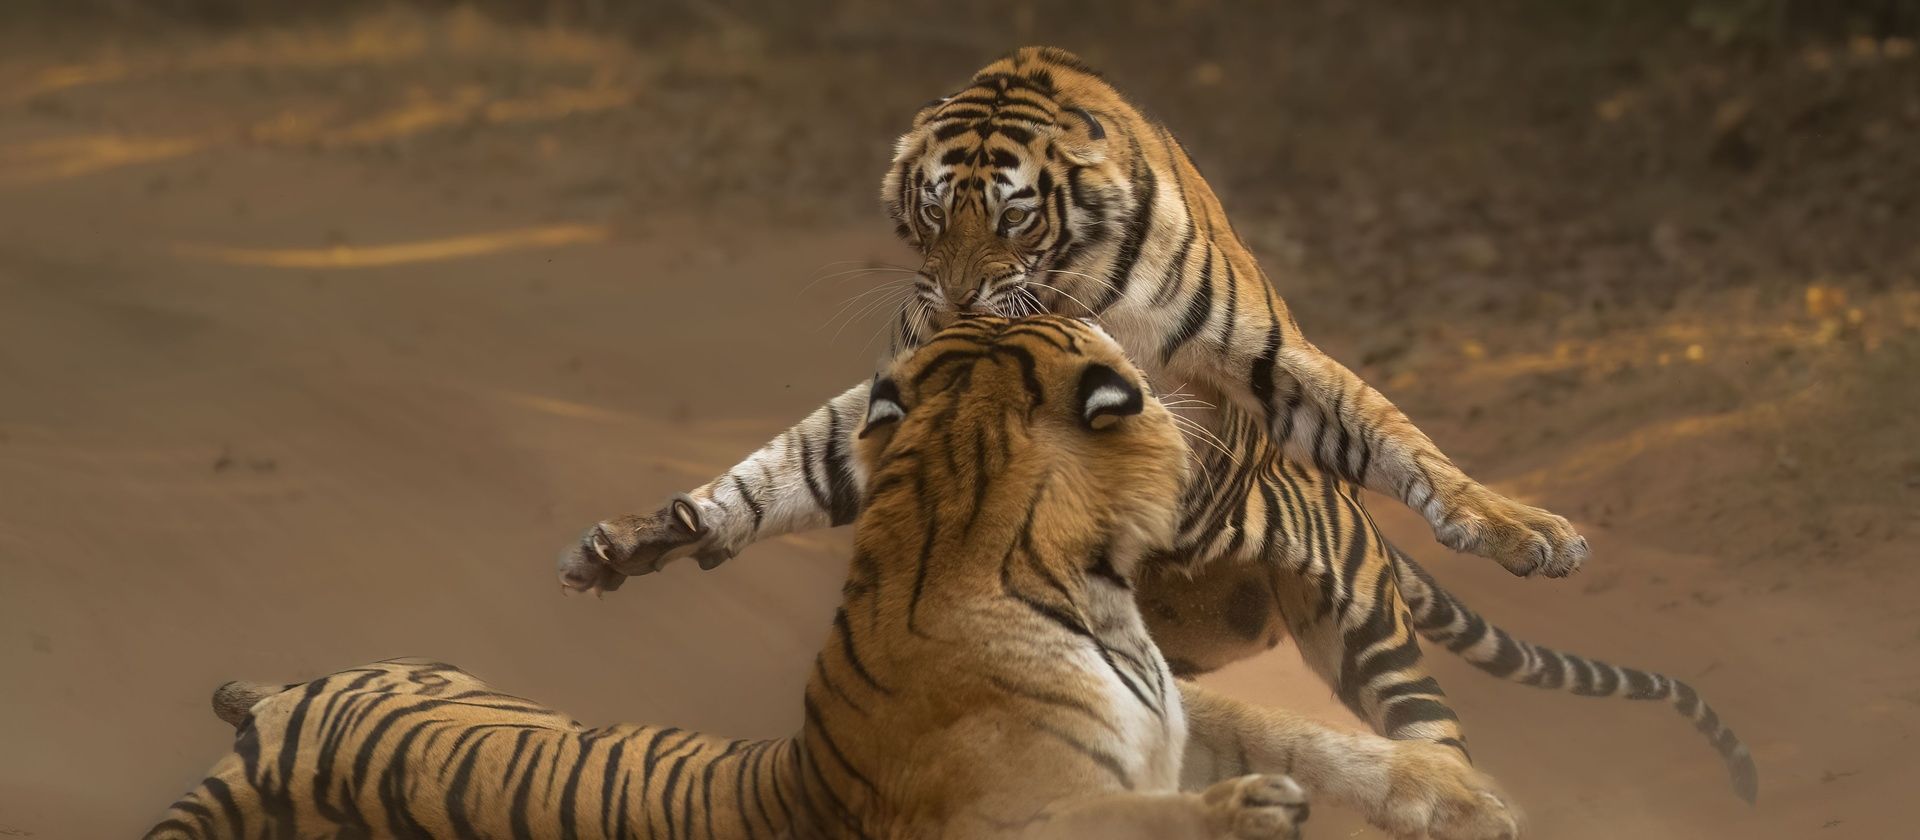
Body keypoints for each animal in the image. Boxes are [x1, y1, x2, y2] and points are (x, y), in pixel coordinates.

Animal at [151, 316, 1520, 840]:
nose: (1211, 398)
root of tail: (259, 727)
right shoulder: (1001, 811)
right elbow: (1123, 816)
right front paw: (1251, 813)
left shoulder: (1170, 710)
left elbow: (1295, 728)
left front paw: (1453, 793)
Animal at [559, 47, 1754, 802]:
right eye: (931, 215)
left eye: (1013, 216)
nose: (951, 301)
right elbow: (792, 467)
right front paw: (646, 538)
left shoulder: (1264, 364)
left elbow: (1396, 433)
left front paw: (1524, 531)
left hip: (1364, 626)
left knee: (1431, 731)